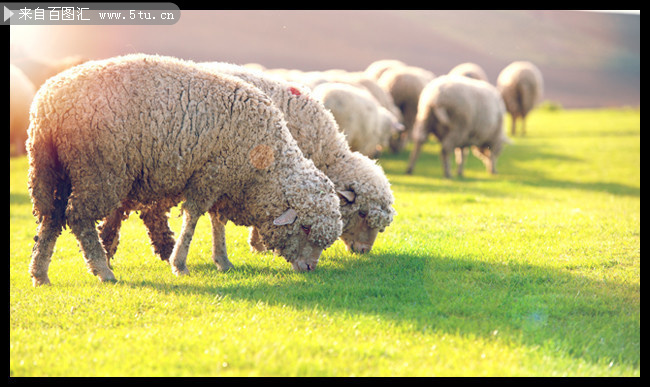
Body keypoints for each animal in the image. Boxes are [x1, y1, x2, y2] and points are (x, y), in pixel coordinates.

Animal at [27, 53, 342, 286]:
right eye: (305, 227)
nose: (309, 268)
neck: (264, 167)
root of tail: (46, 106)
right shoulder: (211, 173)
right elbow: (194, 218)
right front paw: (180, 264)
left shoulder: (223, 180)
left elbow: (217, 221)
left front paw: (222, 260)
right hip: (100, 170)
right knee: (78, 217)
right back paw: (102, 269)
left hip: (53, 170)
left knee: (51, 218)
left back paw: (40, 274)